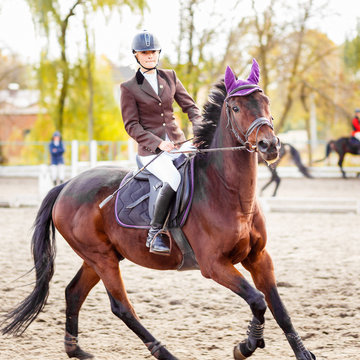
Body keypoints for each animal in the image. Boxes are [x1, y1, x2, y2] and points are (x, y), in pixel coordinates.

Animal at [0, 62, 316, 360]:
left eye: (266, 102)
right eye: (236, 107)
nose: (269, 145)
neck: (229, 194)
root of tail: (66, 185)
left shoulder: (259, 258)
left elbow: (278, 307)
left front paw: (301, 352)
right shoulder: (214, 265)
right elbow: (258, 301)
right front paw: (247, 345)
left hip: (98, 257)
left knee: (74, 293)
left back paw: (75, 349)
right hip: (102, 258)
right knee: (121, 307)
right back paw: (165, 352)